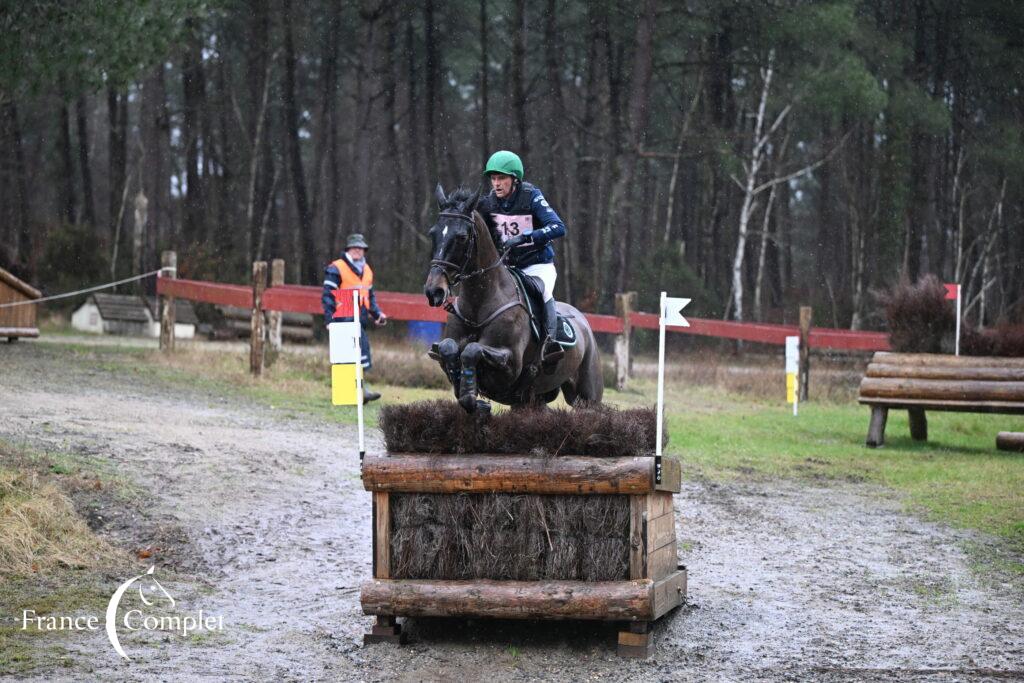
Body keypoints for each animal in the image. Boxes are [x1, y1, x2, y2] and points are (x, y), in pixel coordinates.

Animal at [421, 184, 602, 413]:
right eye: (433, 233)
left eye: (461, 237)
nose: (434, 291)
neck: (479, 304)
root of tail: (584, 322)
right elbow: (449, 349)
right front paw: (471, 395)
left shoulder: (510, 363)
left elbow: (472, 350)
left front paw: (473, 398)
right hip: (531, 400)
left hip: (587, 396)